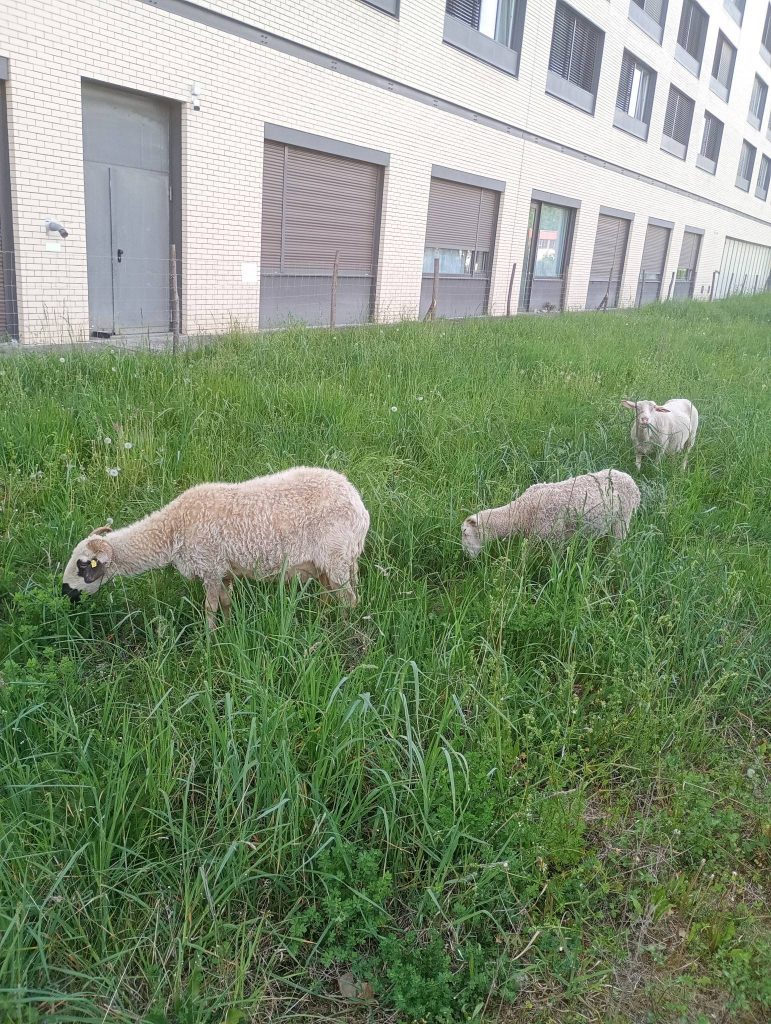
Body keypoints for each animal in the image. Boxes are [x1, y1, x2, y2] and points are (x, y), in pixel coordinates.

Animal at [61, 467, 370, 628]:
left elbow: (209, 606)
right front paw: (229, 627)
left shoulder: (208, 566)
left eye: (82, 565)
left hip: (335, 556)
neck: (174, 529)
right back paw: (322, 619)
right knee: (338, 593)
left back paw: (340, 630)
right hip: (337, 560)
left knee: (349, 599)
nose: (65, 594)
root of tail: (359, 505)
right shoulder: (221, 570)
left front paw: (209, 640)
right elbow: (225, 602)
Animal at [461, 468, 640, 557]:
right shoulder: (534, 537)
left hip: (623, 517)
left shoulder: (556, 537)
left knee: (618, 542)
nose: (466, 556)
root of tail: (631, 480)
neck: (521, 512)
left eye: (465, 533)